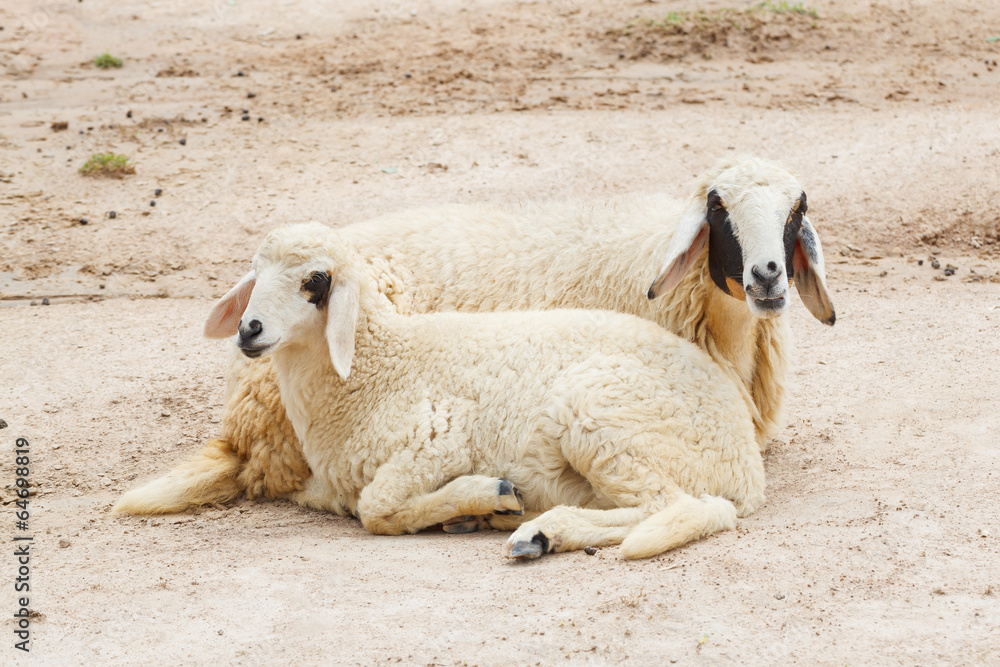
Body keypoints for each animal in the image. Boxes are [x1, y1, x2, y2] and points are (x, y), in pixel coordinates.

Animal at [189, 222, 764, 560]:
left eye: (316, 281)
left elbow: (377, 509)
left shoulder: (440, 435)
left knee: (672, 504)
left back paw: (539, 529)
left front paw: (487, 491)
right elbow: (372, 507)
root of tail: (747, 466)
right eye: (254, 273)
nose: (249, 330)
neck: (378, 366)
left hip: (605, 415)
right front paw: (472, 507)